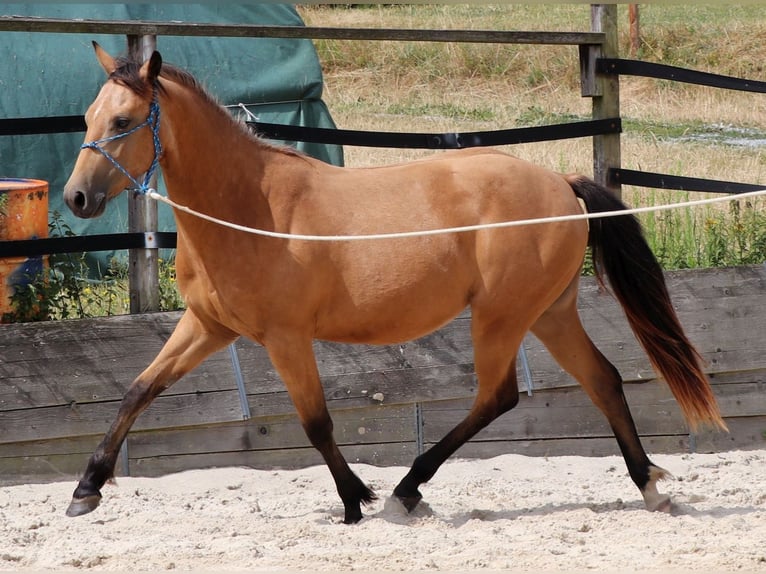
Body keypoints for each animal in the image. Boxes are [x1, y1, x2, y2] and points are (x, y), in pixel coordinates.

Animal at [62, 43, 725, 524]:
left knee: (499, 396)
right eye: (89, 117)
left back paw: (409, 487)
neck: (249, 206)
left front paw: (355, 500)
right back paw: (650, 487)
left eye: (123, 120)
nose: (77, 198)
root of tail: (561, 185)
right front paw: (86, 487)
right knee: (602, 380)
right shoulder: (209, 327)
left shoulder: (286, 337)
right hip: (549, 314)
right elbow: (138, 391)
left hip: (503, 317)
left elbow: (317, 423)